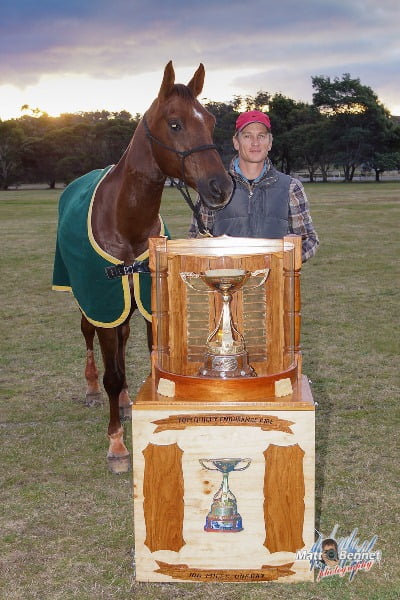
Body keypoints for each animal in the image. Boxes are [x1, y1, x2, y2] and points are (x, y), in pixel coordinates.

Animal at [53, 61, 234, 474]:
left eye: (211, 120)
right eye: (175, 123)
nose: (221, 187)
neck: (126, 222)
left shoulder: (150, 301)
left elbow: (152, 362)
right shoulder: (103, 298)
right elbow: (113, 373)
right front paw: (117, 445)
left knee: (121, 340)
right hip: (88, 299)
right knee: (89, 335)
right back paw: (92, 389)